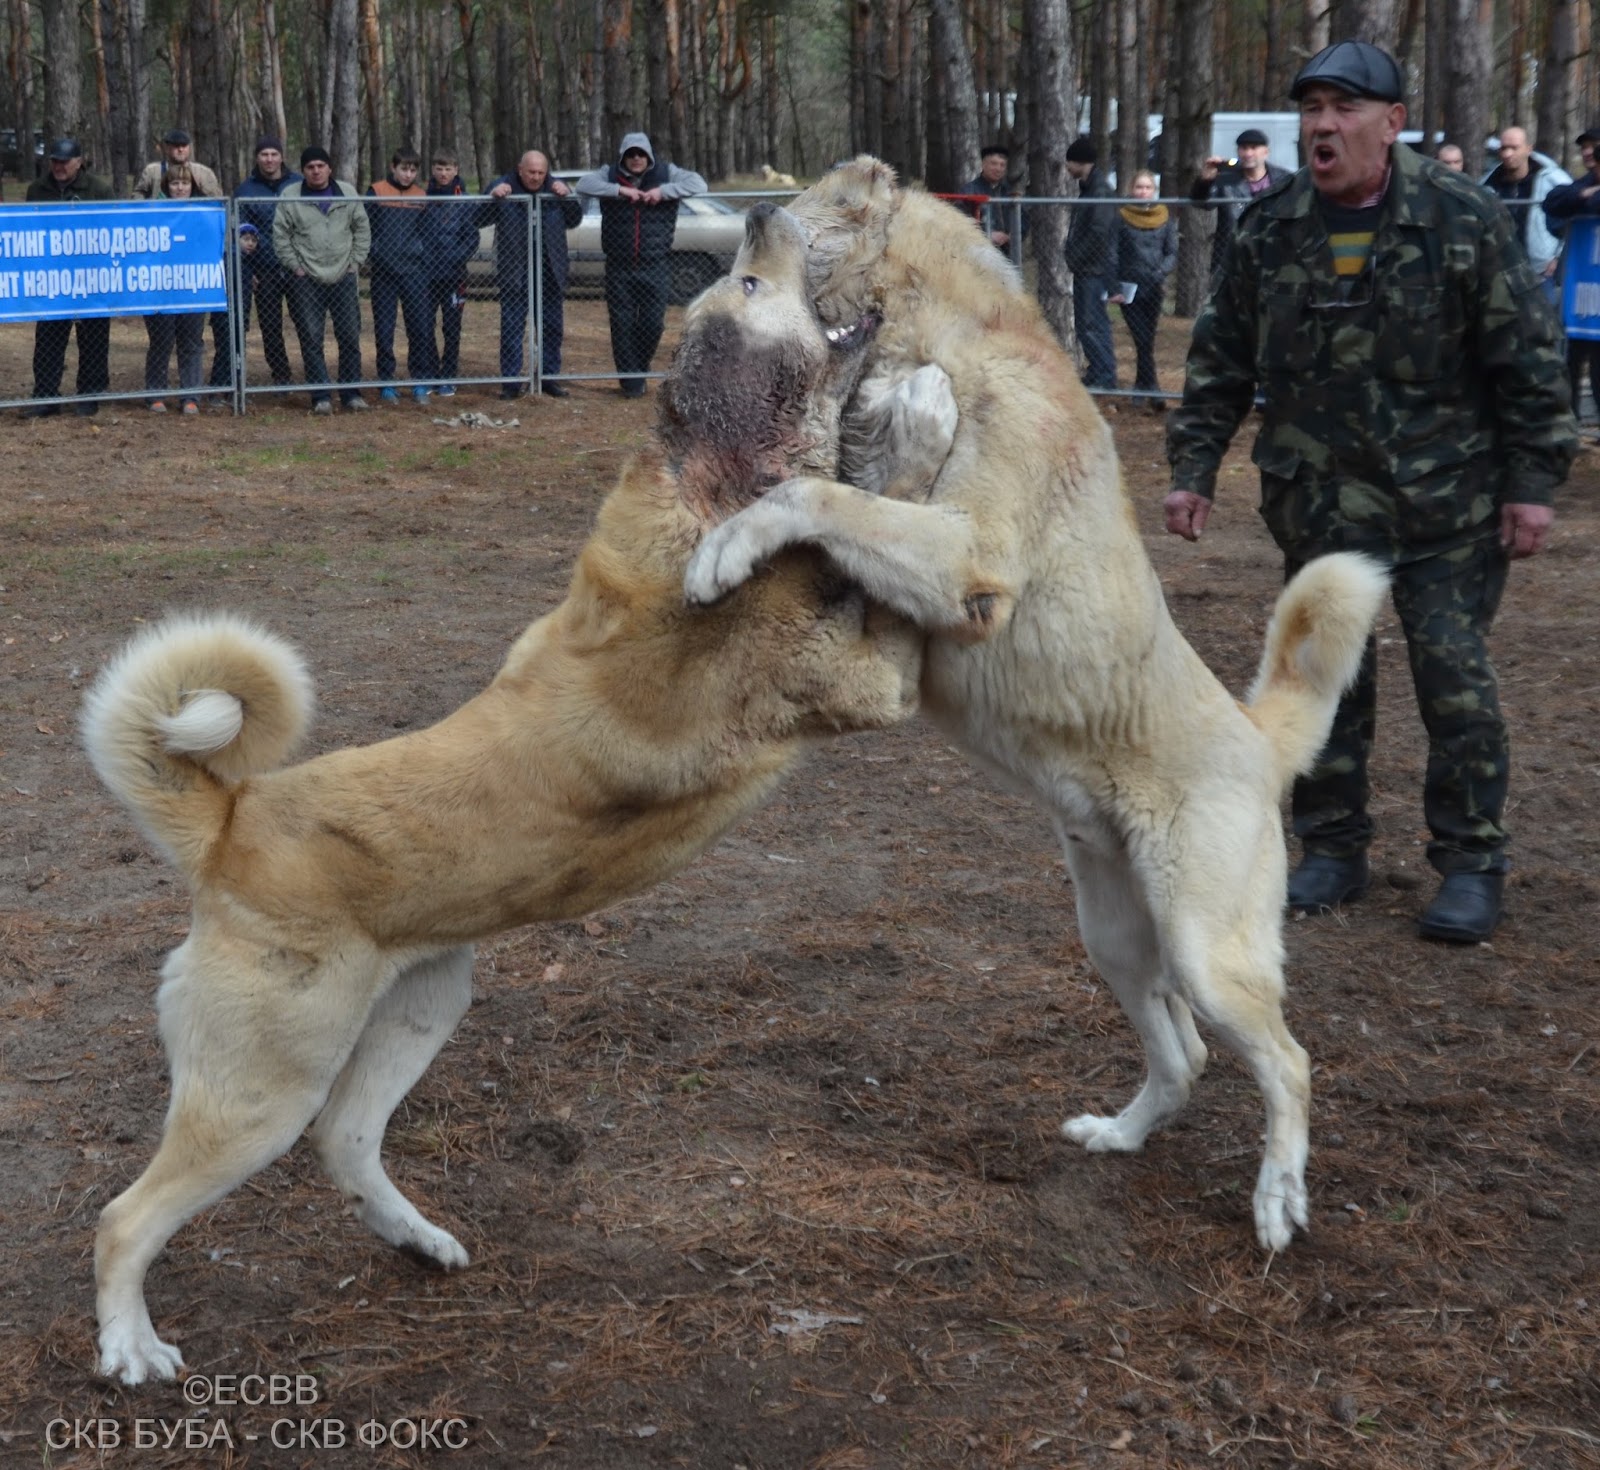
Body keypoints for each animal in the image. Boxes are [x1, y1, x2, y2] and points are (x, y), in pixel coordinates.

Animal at [80, 203, 957, 1386]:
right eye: (744, 281)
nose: (763, 213)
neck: (702, 487)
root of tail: (227, 826)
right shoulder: (868, 682)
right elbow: (889, 505)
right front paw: (921, 419)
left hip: (419, 1008)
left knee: (346, 1145)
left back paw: (418, 1241)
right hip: (261, 1089)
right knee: (126, 1220)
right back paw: (131, 1347)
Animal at [685, 161, 1389, 1252]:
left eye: (809, 204)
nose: (754, 208)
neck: (948, 332)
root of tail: (1253, 743)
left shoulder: (959, 559)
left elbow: (814, 497)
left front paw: (722, 547)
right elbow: (833, 487)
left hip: (1206, 950)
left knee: (1288, 1062)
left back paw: (1278, 1199)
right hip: (1116, 939)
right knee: (1184, 1059)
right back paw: (1117, 1136)